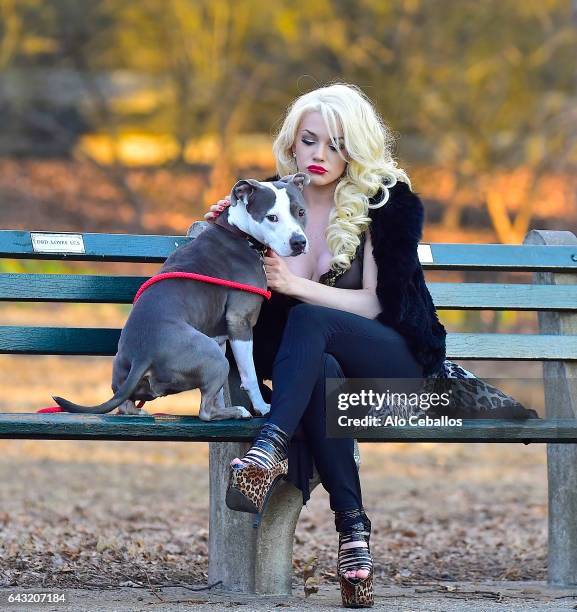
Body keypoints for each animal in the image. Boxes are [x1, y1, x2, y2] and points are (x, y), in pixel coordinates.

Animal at [51, 175, 308, 418]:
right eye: (272, 217)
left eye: (301, 212)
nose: (299, 242)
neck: (239, 233)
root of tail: (143, 353)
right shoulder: (240, 322)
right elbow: (250, 375)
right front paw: (262, 408)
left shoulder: (218, 335)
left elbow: (219, 393)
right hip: (214, 357)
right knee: (205, 411)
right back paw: (237, 411)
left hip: (131, 369)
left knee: (126, 403)